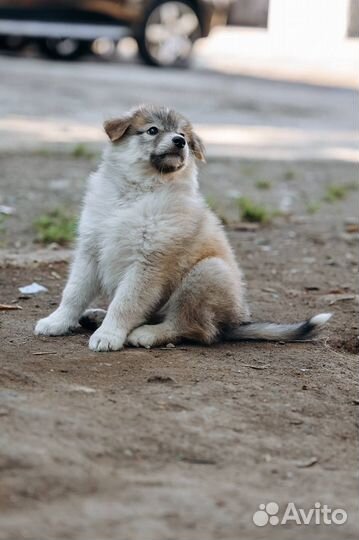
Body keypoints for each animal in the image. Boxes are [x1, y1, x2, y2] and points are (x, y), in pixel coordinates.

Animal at [34, 105, 332, 352]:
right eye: (153, 130)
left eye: (183, 136)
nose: (180, 141)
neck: (138, 192)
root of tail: (234, 323)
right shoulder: (91, 250)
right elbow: (73, 293)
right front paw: (56, 322)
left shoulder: (148, 262)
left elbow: (126, 302)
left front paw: (109, 335)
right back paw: (97, 316)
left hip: (206, 273)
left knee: (191, 327)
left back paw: (146, 333)